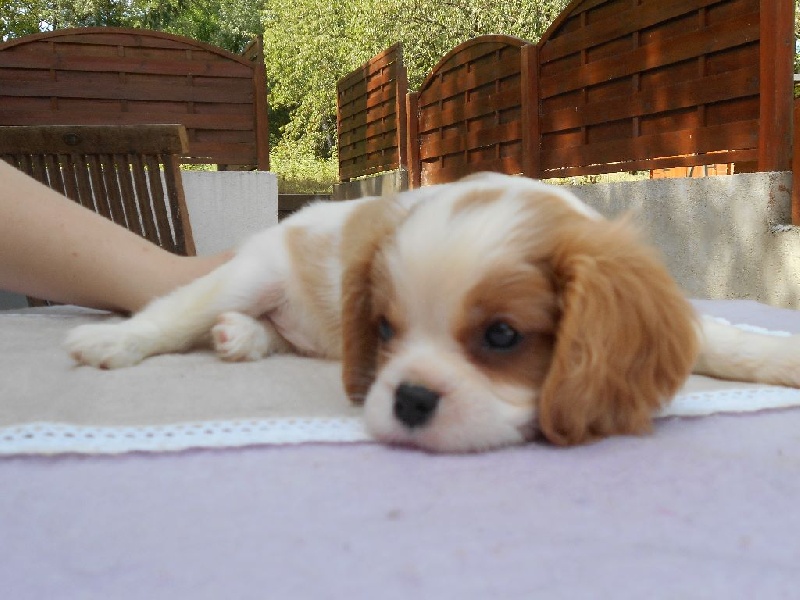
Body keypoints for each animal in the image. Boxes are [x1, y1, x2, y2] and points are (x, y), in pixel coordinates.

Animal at [65, 173, 800, 452]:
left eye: (502, 335)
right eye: (386, 330)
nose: (410, 400)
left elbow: (722, 339)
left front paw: (781, 356)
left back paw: (241, 338)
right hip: (249, 275)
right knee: (176, 310)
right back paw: (116, 341)